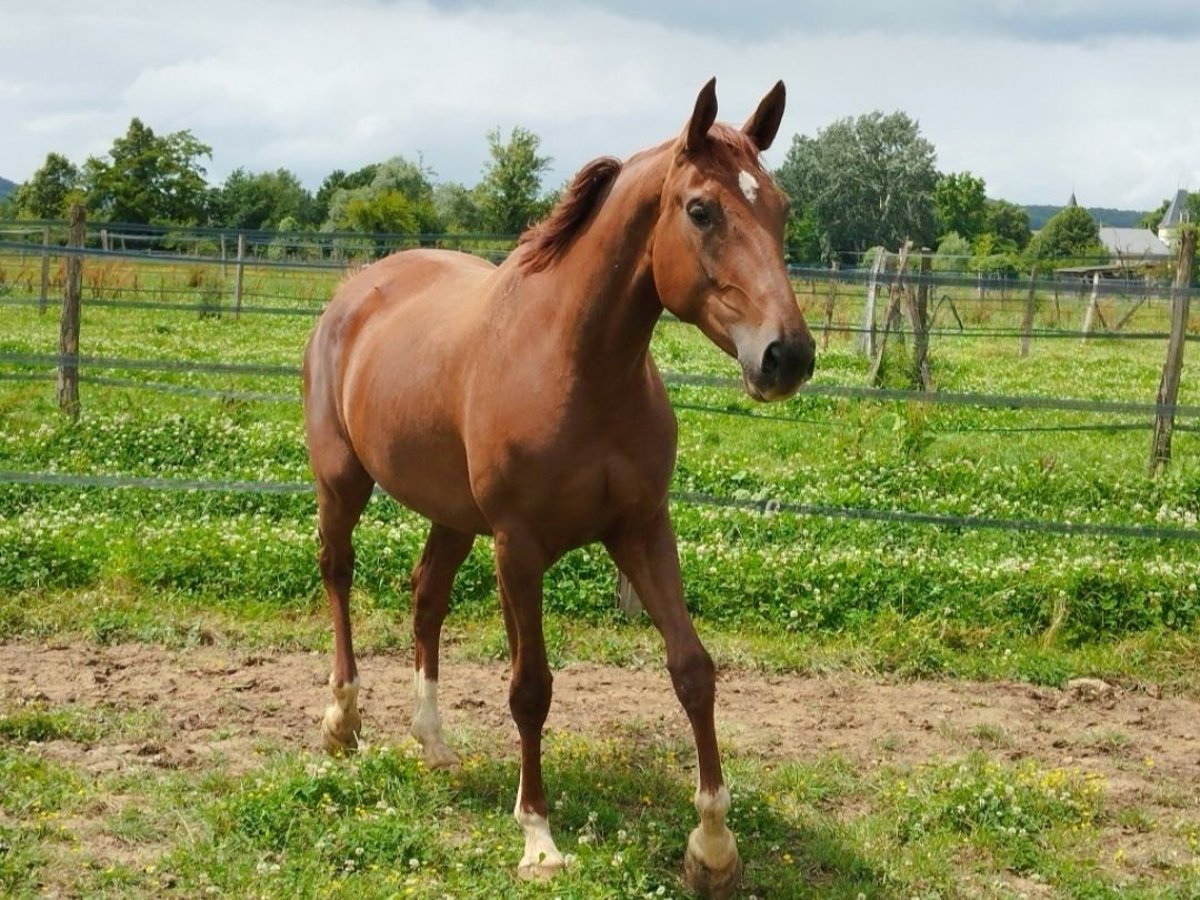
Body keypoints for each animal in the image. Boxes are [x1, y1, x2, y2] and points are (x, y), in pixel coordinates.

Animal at [304, 81, 820, 897]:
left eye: (781, 206)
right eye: (701, 210)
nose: (787, 355)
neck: (577, 364)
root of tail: (356, 290)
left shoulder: (642, 529)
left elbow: (692, 670)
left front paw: (713, 845)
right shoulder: (519, 547)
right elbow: (530, 688)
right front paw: (539, 839)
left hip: (453, 516)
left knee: (425, 598)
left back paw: (433, 742)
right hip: (342, 481)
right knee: (339, 573)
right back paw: (343, 720)